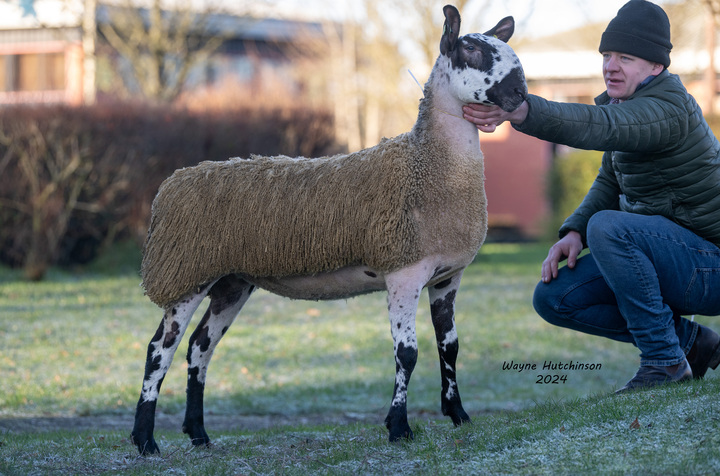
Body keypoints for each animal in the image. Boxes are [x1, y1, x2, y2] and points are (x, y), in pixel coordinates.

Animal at [131, 4, 524, 458]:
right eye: (472, 49)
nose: (521, 93)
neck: (425, 164)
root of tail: (171, 184)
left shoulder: (447, 275)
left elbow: (451, 346)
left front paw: (458, 415)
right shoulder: (403, 270)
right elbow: (407, 353)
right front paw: (399, 428)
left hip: (231, 281)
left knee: (200, 347)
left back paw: (198, 434)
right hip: (185, 272)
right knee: (160, 349)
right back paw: (145, 440)